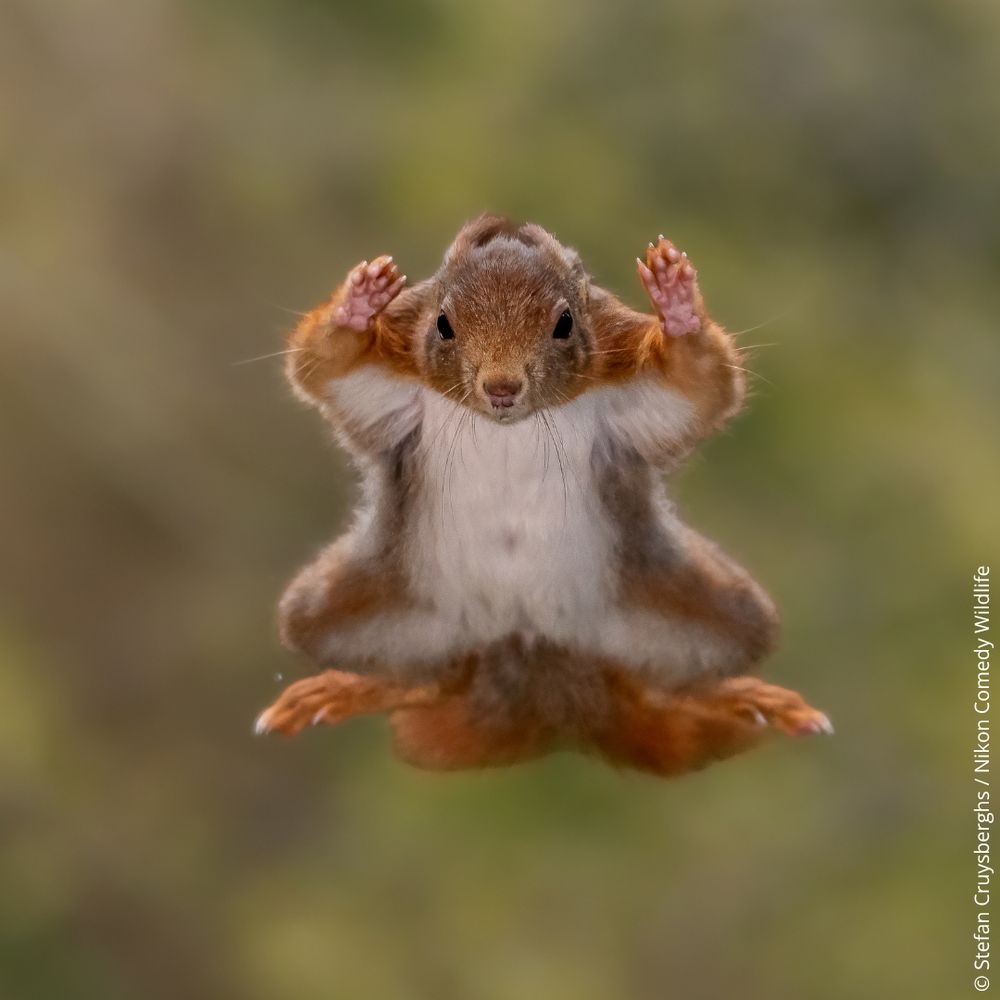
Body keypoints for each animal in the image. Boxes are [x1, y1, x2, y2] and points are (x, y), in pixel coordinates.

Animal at [255, 215, 831, 777]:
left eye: (565, 323)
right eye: (443, 323)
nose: (501, 388)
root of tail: (533, 661)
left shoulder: (627, 381)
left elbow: (699, 386)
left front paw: (678, 306)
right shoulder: (392, 378)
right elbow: (326, 368)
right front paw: (357, 306)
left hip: (705, 608)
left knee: (657, 686)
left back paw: (738, 697)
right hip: (352, 606)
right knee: (429, 679)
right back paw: (353, 687)